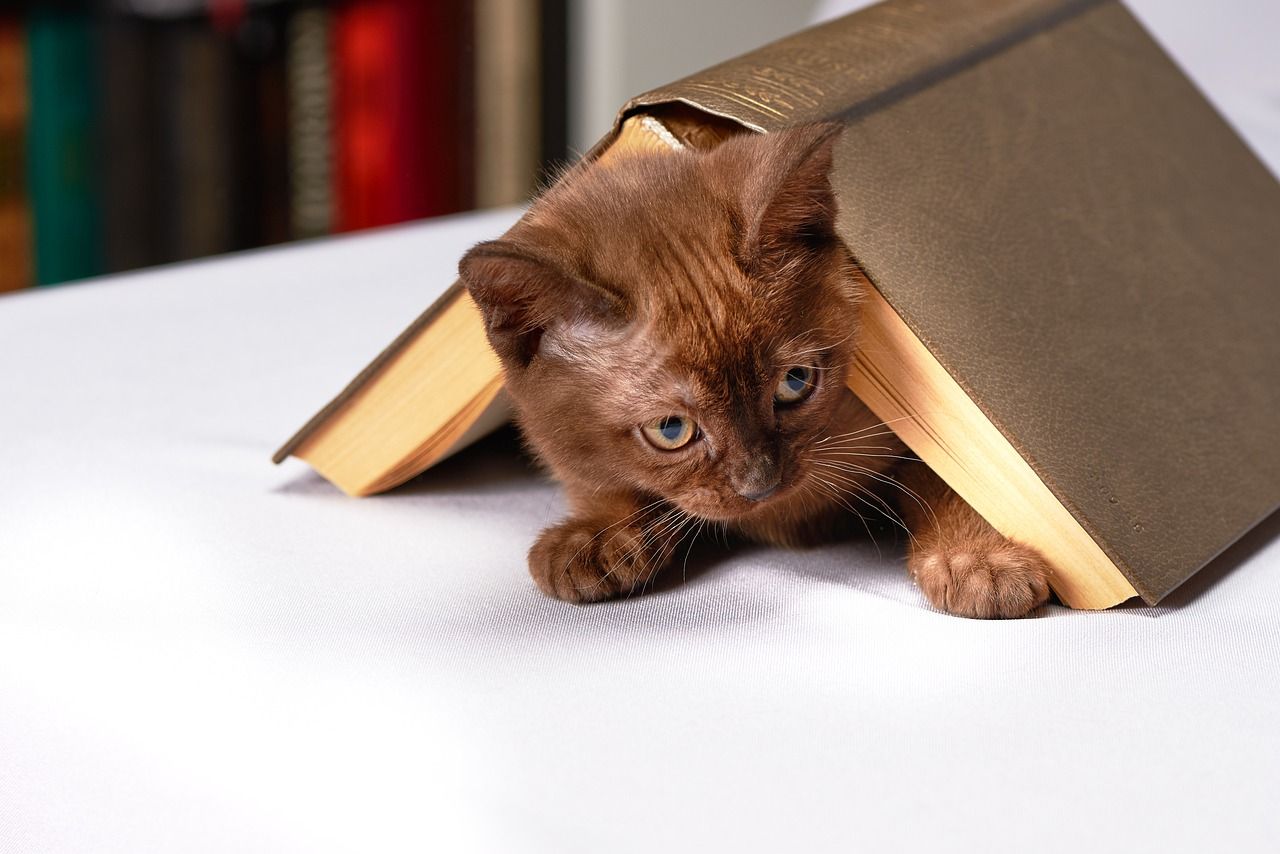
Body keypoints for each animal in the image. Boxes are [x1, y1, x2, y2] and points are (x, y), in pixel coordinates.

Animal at [460, 125, 1049, 622]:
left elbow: (951, 477)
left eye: (795, 382)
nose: (760, 483)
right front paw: (594, 536)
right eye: (670, 429)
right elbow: (599, 478)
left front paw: (979, 560)